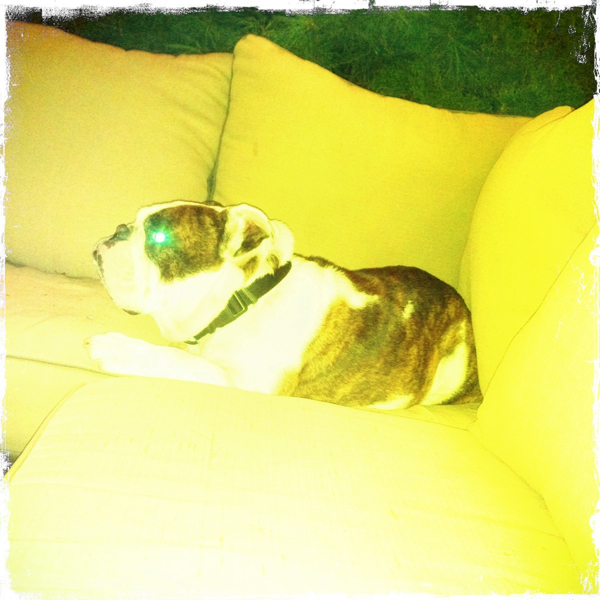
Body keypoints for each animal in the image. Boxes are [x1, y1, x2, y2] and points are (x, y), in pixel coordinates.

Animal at [85, 200, 482, 409]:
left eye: (157, 237)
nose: (118, 229)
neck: (242, 301)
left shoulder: (248, 384)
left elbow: (177, 360)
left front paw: (119, 349)